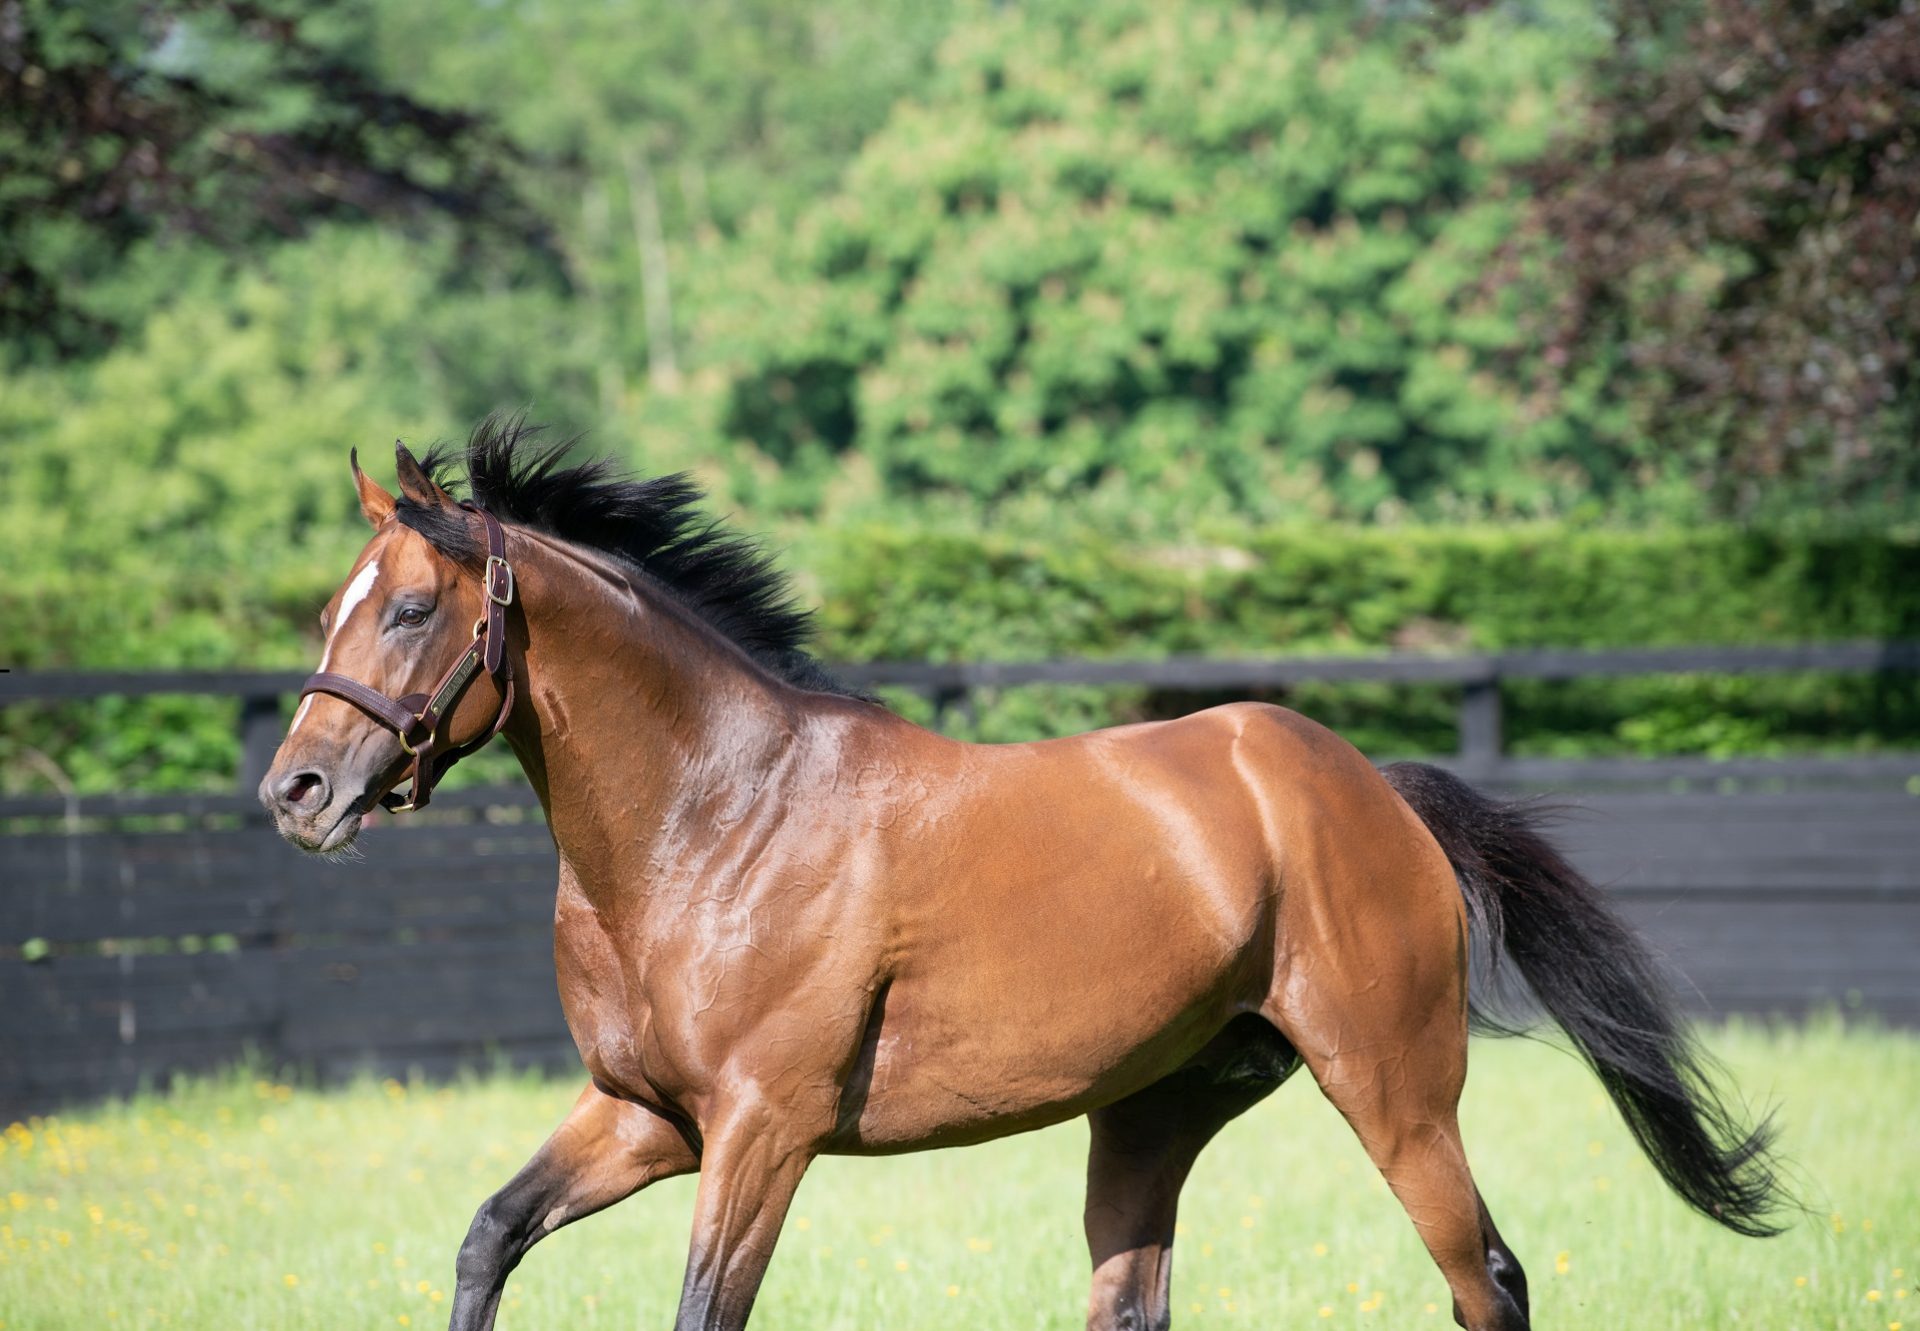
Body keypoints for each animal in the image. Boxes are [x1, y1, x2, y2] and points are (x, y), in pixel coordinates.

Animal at [259, 418, 1781, 1329]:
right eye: (331, 606)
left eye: (411, 606)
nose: (296, 791)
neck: (717, 816)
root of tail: (1367, 788)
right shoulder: (646, 1115)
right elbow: (490, 1234)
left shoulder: (759, 1130)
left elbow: (700, 1309)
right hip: (1156, 1113)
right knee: (1138, 1300)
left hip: (1395, 1091)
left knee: (1488, 1277)